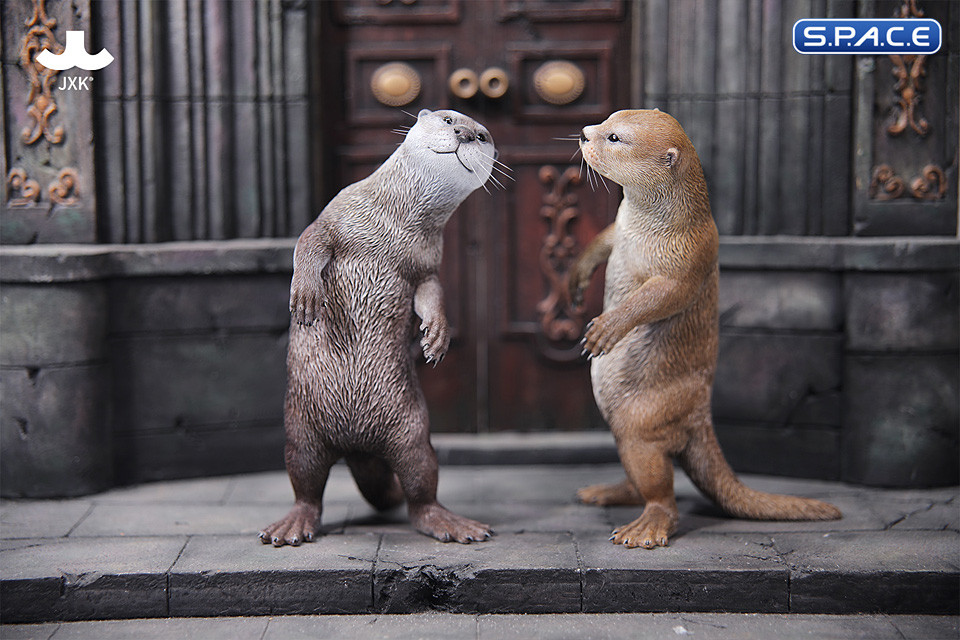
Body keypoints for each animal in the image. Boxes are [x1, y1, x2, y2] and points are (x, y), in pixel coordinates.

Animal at [260, 109, 495, 546]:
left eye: (483, 135)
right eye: (448, 119)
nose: (465, 133)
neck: (394, 227)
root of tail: (357, 445)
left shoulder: (427, 261)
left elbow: (432, 292)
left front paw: (437, 335)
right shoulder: (336, 213)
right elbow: (309, 241)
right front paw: (305, 295)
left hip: (411, 429)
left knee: (421, 484)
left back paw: (451, 523)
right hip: (301, 428)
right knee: (305, 483)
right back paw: (292, 525)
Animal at [568, 109, 841, 549]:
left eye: (614, 137)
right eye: (607, 120)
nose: (582, 133)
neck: (650, 229)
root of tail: (700, 420)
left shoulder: (687, 258)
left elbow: (658, 297)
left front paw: (606, 329)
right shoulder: (619, 228)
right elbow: (601, 242)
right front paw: (575, 279)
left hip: (644, 422)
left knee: (661, 489)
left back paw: (645, 530)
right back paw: (604, 493)